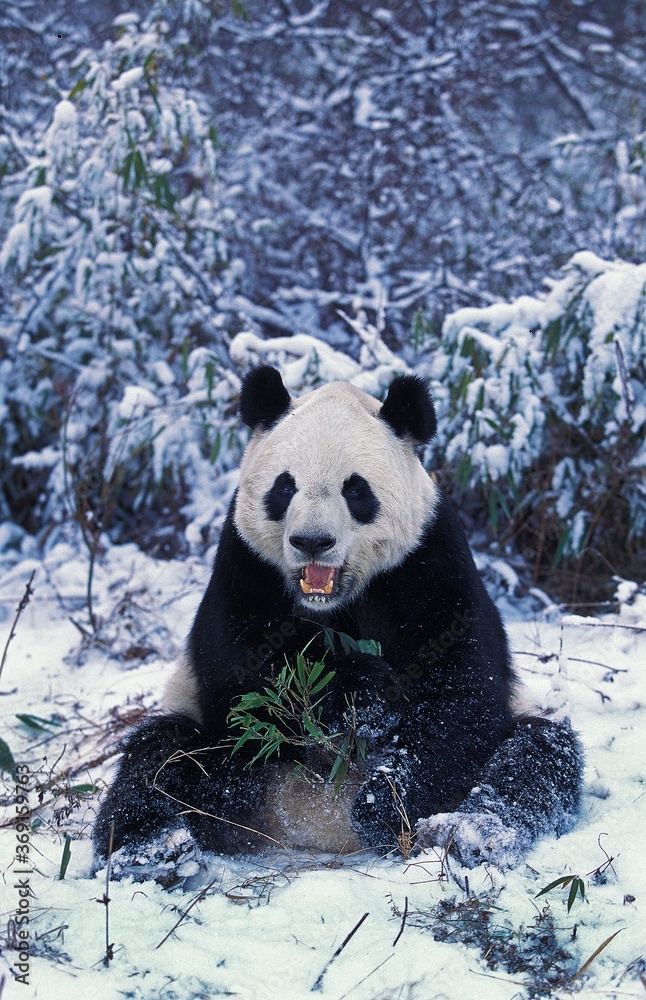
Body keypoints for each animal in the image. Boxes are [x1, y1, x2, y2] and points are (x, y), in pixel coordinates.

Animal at [93, 364, 584, 872]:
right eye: (284, 486)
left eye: (356, 489)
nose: (312, 541)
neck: (334, 599)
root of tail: (314, 825)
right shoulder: (245, 561)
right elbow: (237, 674)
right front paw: (360, 689)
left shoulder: (430, 557)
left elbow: (462, 687)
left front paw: (385, 802)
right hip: (223, 753)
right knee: (159, 760)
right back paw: (153, 848)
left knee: (536, 757)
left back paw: (475, 832)